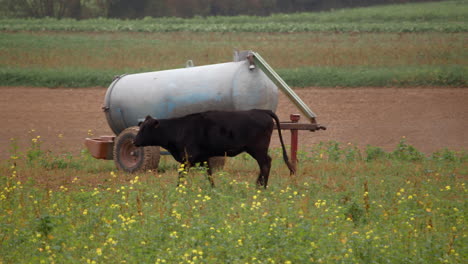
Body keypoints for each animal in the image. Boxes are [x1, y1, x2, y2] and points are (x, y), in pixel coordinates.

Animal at [133, 109, 294, 188]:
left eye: (145, 129)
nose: (134, 141)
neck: (179, 129)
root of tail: (261, 111)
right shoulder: (204, 158)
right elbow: (209, 174)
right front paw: (213, 188)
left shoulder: (187, 158)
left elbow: (181, 175)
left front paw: (178, 190)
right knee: (265, 163)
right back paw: (258, 184)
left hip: (258, 149)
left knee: (265, 164)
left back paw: (262, 186)